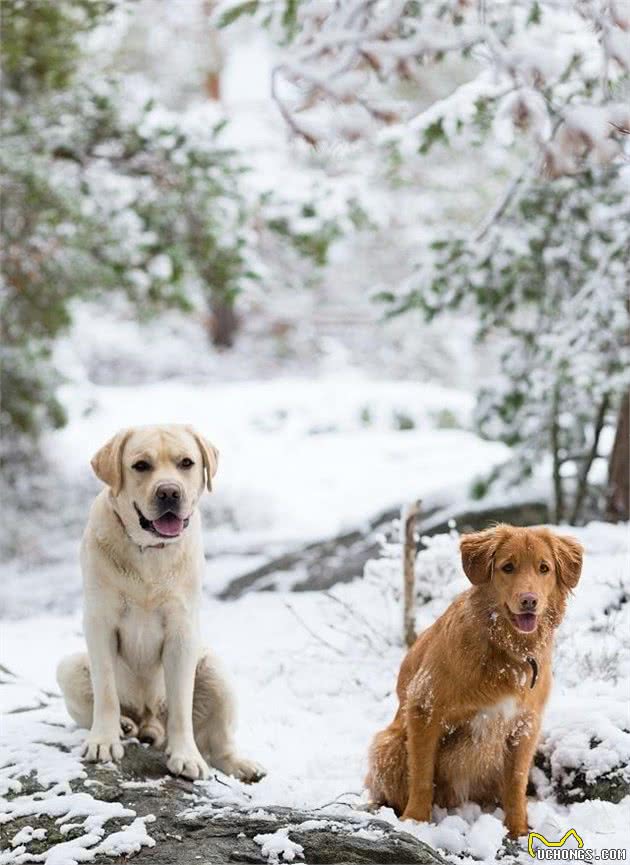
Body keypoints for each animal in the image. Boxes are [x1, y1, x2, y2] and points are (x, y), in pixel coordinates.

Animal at [57, 424, 266, 784]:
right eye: (141, 465)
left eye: (186, 463)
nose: (169, 492)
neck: (149, 554)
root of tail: (150, 721)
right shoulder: (99, 623)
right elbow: (106, 692)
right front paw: (104, 741)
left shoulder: (182, 631)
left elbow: (181, 704)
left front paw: (186, 757)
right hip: (68, 666)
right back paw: (126, 725)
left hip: (216, 671)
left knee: (219, 745)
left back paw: (242, 765)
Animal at [368, 524, 584, 832]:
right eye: (508, 567)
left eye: (544, 568)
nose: (529, 601)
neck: (506, 650)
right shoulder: (424, 709)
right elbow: (421, 775)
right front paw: (415, 822)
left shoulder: (525, 724)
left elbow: (516, 783)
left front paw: (518, 830)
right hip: (389, 744)